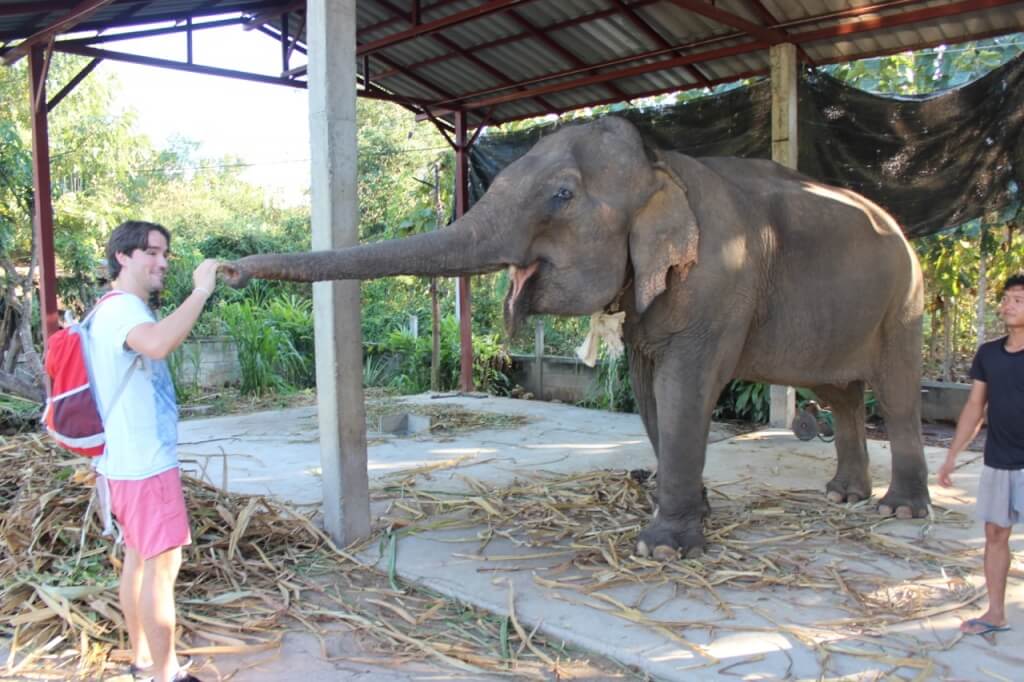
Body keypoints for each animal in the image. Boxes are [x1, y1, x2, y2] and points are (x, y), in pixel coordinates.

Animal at [220, 116, 933, 557]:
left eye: (561, 196)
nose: (224, 273)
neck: (662, 166)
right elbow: (650, 392)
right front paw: (693, 515)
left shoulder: (717, 285)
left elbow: (685, 388)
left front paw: (662, 549)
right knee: (841, 393)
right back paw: (843, 496)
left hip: (905, 301)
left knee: (896, 395)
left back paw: (899, 512)